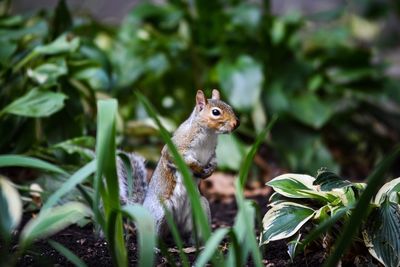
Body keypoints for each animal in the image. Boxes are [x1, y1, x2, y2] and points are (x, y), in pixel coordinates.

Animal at [117, 89, 239, 239]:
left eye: (230, 107)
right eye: (215, 112)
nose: (236, 123)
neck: (209, 135)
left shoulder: (212, 154)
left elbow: (214, 162)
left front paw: (210, 171)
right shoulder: (174, 149)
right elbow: (183, 160)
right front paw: (198, 168)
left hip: (202, 207)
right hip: (161, 211)